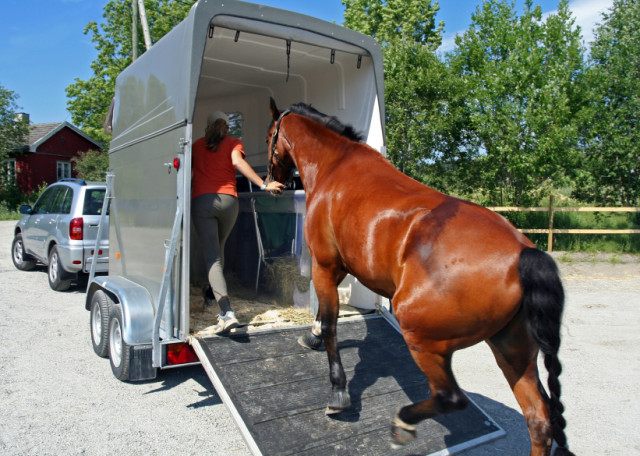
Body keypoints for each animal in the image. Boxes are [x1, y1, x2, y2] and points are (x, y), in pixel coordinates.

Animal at [264, 97, 576, 456]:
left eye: (269, 136)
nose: (271, 182)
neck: (335, 166)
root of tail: (525, 253)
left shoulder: (325, 265)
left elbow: (330, 324)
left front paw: (338, 392)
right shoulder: (338, 267)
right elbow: (323, 319)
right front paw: (311, 336)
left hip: (423, 338)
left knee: (451, 398)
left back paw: (403, 422)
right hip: (513, 352)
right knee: (539, 420)